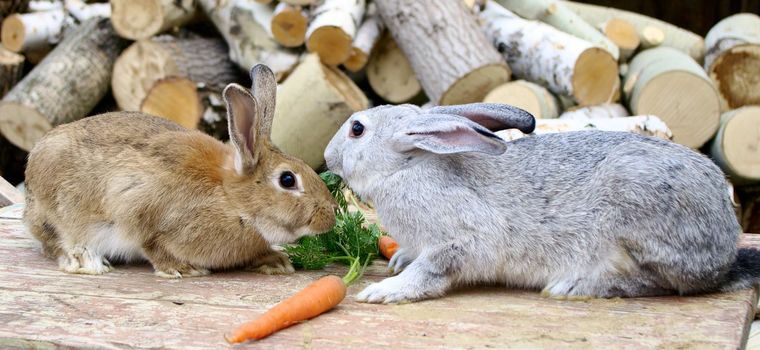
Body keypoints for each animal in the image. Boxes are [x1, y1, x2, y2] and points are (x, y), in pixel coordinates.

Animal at [23, 64, 336, 278]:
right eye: (287, 180)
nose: (329, 218)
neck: (231, 199)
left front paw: (276, 262)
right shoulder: (141, 211)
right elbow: (151, 244)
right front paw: (181, 269)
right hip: (60, 214)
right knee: (55, 242)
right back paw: (86, 261)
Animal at [326, 102, 760, 302]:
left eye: (357, 129)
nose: (328, 157)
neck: (409, 166)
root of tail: (726, 245)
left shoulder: (462, 240)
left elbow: (432, 270)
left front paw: (386, 290)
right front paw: (398, 260)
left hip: (638, 209)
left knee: (658, 283)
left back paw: (574, 285)